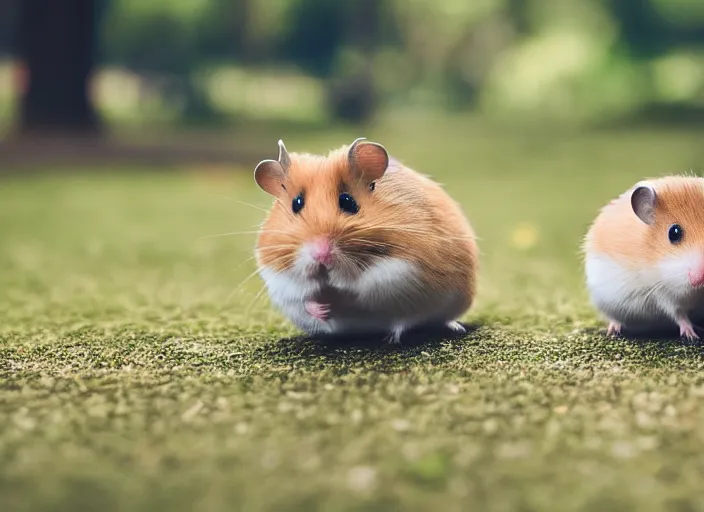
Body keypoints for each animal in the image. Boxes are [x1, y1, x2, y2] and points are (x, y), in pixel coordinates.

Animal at [253, 138, 478, 344]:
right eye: (296, 204)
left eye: (348, 202)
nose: (321, 255)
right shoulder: (281, 280)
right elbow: (303, 299)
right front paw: (323, 309)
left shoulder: (398, 271)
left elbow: (361, 292)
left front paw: (336, 301)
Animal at [584, 176, 704, 340]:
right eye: (674, 233)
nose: (699, 279)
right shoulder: (664, 293)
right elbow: (679, 314)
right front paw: (692, 336)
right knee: (614, 318)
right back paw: (613, 331)